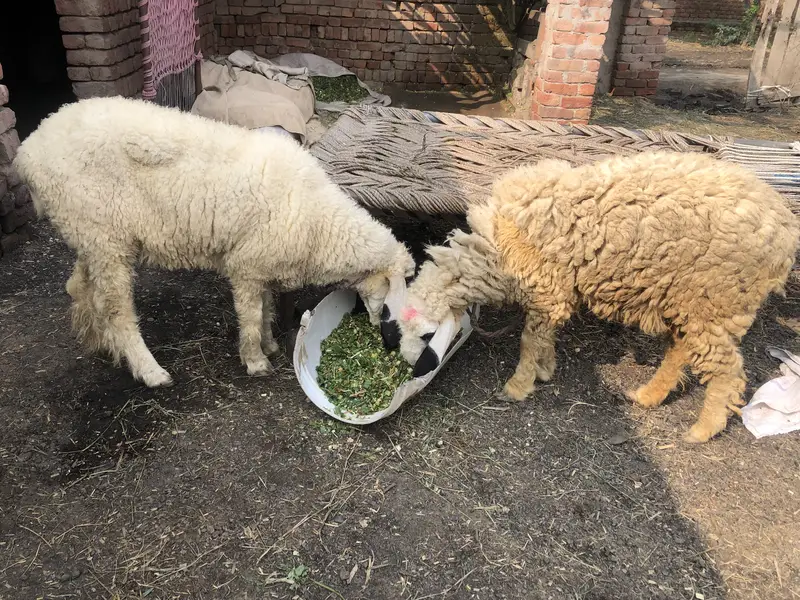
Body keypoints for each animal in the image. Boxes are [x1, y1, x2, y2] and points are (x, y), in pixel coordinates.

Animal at [13, 96, 414, 388]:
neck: (319, 221)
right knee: (117, 310)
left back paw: (99, 340)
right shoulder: (247, 265)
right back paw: (150, 371)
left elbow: (265, 307)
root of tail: (27, 151)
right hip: (104, 235)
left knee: (79, 287)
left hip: (91, 234)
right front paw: (256, 360)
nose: (386, 338)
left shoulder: (261, 263)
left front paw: (269, 344)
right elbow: (251, 316)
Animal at [398, 151, 799, 443]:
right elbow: (544, 337)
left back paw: (702, 430)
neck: (495, 249)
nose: (412, 371)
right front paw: (546, 368)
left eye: (425, 336)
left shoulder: (547, 289)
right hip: (687, 300)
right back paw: (649, 395)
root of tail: (784, 228)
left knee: (728, 371)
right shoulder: (554, 293)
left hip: (718, 299)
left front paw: (518, 385)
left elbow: (529, 340)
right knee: (681, 351)